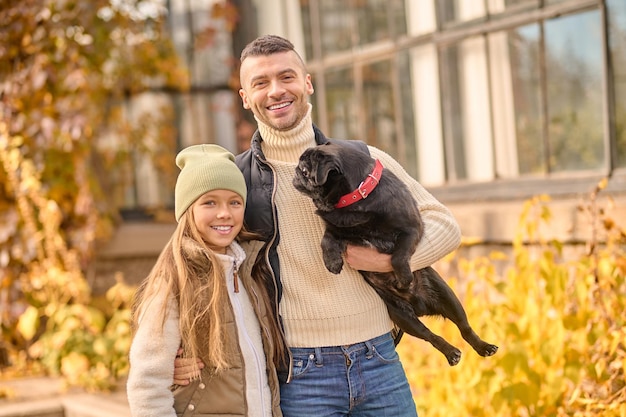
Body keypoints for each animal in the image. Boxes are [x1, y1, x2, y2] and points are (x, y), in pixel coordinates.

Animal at [292, 142, 498, 364]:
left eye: (305, 169)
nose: (295, 172)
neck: (356, 198)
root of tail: (420, 305)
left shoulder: (411, 229)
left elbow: (398, 256)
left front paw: (404, 277)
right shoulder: (337, 229)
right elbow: (327, 240)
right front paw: (332, 262)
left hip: (448, 297)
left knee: (464, 327)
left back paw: (483, 347)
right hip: (401, 315)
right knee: (429, 335)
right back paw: (450, 352)